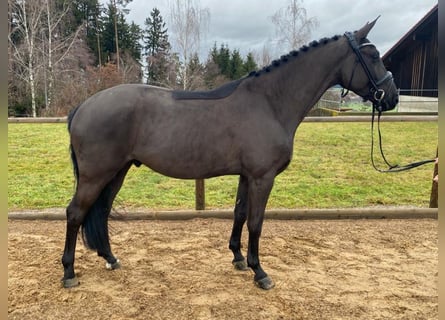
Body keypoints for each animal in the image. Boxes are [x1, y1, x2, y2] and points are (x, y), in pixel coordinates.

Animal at [60, 19, 398, 290]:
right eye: (373, 56)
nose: (392, 97)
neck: (269, 102)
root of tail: (82, 107)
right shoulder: (263, 178)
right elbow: (256, 222)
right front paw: (260, 272)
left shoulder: (247, 176)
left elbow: (239, 214)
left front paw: (238, 258)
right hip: (96, 174)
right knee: (75, 213)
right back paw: (69, 273)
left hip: (118, 170)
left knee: (101, 211)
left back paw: (110, 258)